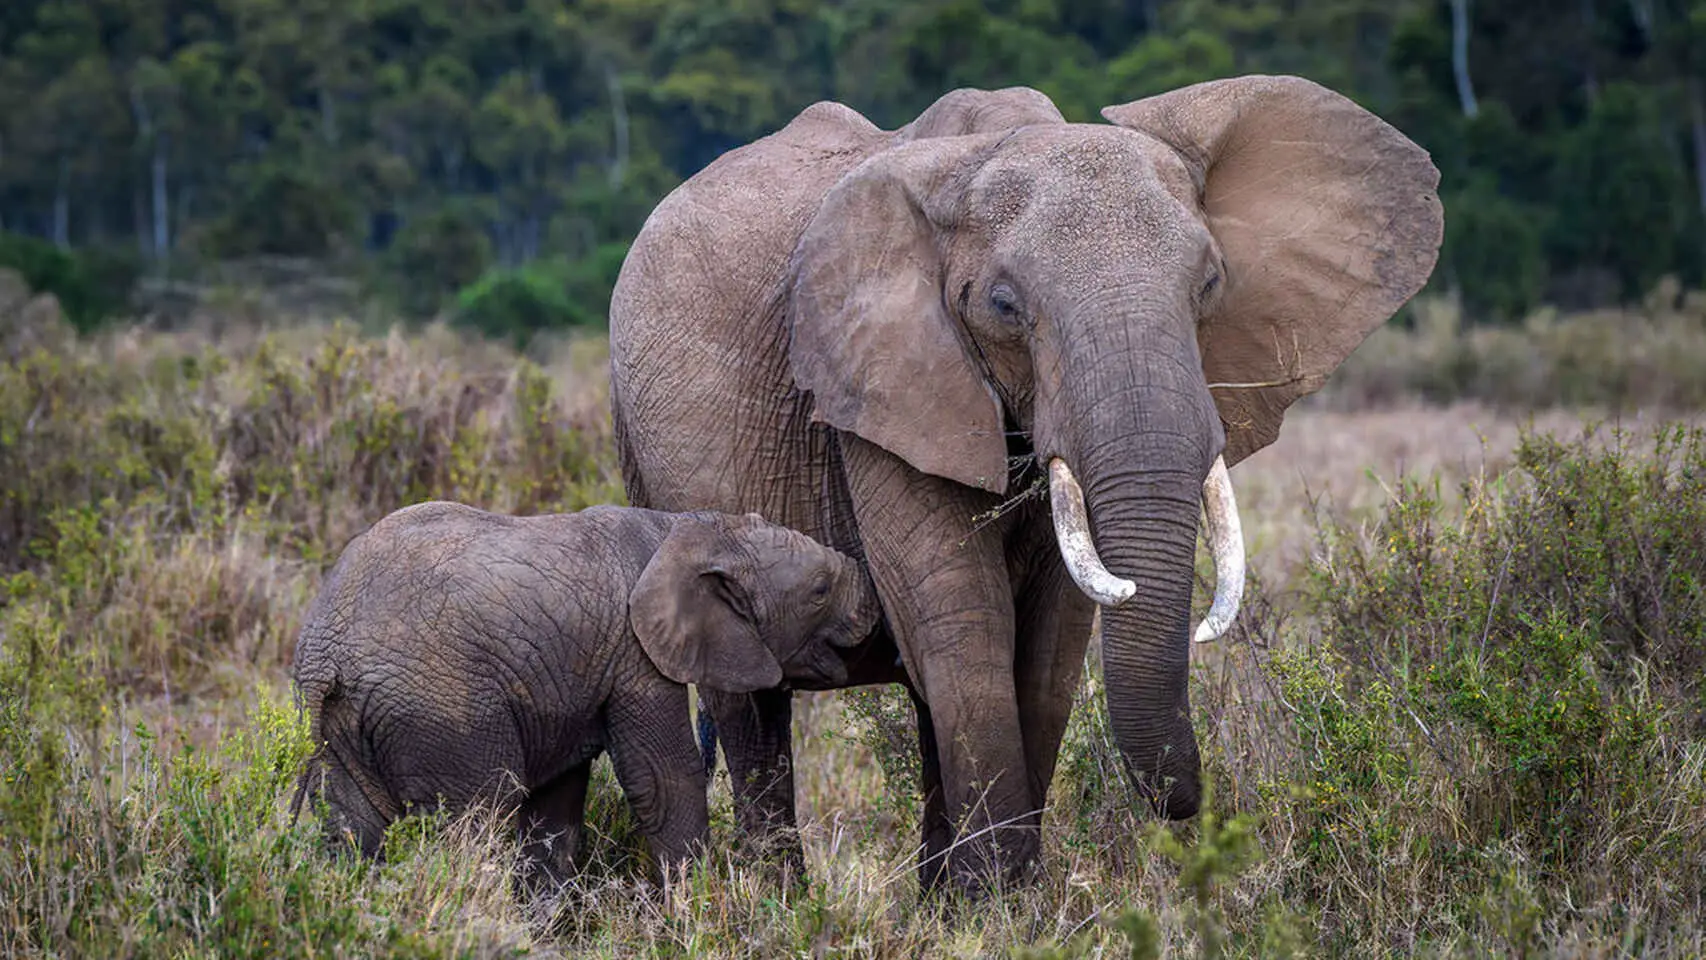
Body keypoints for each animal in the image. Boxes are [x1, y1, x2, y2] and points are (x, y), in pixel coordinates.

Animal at [291, 504, 873, 879]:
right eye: (820, 591)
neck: (689, 526)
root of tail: (324, 655)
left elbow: (557, 805)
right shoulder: (635, 653)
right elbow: (661, 779)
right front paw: (701, 915)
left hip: (342, 727)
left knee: (351, 830)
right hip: (442, 709)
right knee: (480, 815)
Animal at [610, 77, 1439, 893]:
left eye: (1210, 284)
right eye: (1005, 307)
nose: (1193, 813)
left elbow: (1050, 643)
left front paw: (1001, 904)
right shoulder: (879, 388)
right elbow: (961, 618)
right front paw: (1001, 905)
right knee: (752, 708)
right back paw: (779, 903)